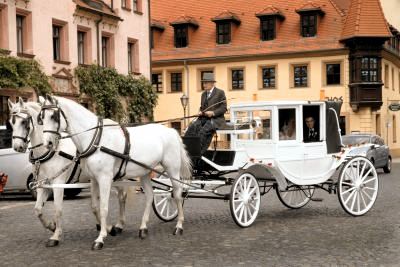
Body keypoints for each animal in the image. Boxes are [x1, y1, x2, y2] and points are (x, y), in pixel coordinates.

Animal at [8, 98, 128, 247]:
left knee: (122, 197)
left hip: (117, 176)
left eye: (24, 122)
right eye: (11, 122)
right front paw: (51, 226)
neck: (51, 151)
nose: (17, 147)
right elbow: (37, 209)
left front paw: (56, 235)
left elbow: (58, 209)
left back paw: (119, 225)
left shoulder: (58, 183)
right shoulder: (43, 185)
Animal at [39, 95, 193, 250]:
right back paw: (143, 228)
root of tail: (171, 131)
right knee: (150, 196)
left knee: (177, 194)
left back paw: (179, 226)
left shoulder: (105, 178)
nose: (48, 144)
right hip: (144, 172)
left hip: (172, 169)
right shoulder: (94, 179)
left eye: (53, 116)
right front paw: (108, 229)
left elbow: (103, 208)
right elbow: (94, 206)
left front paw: (101, 238)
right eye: (41, 118)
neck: (96, 140)